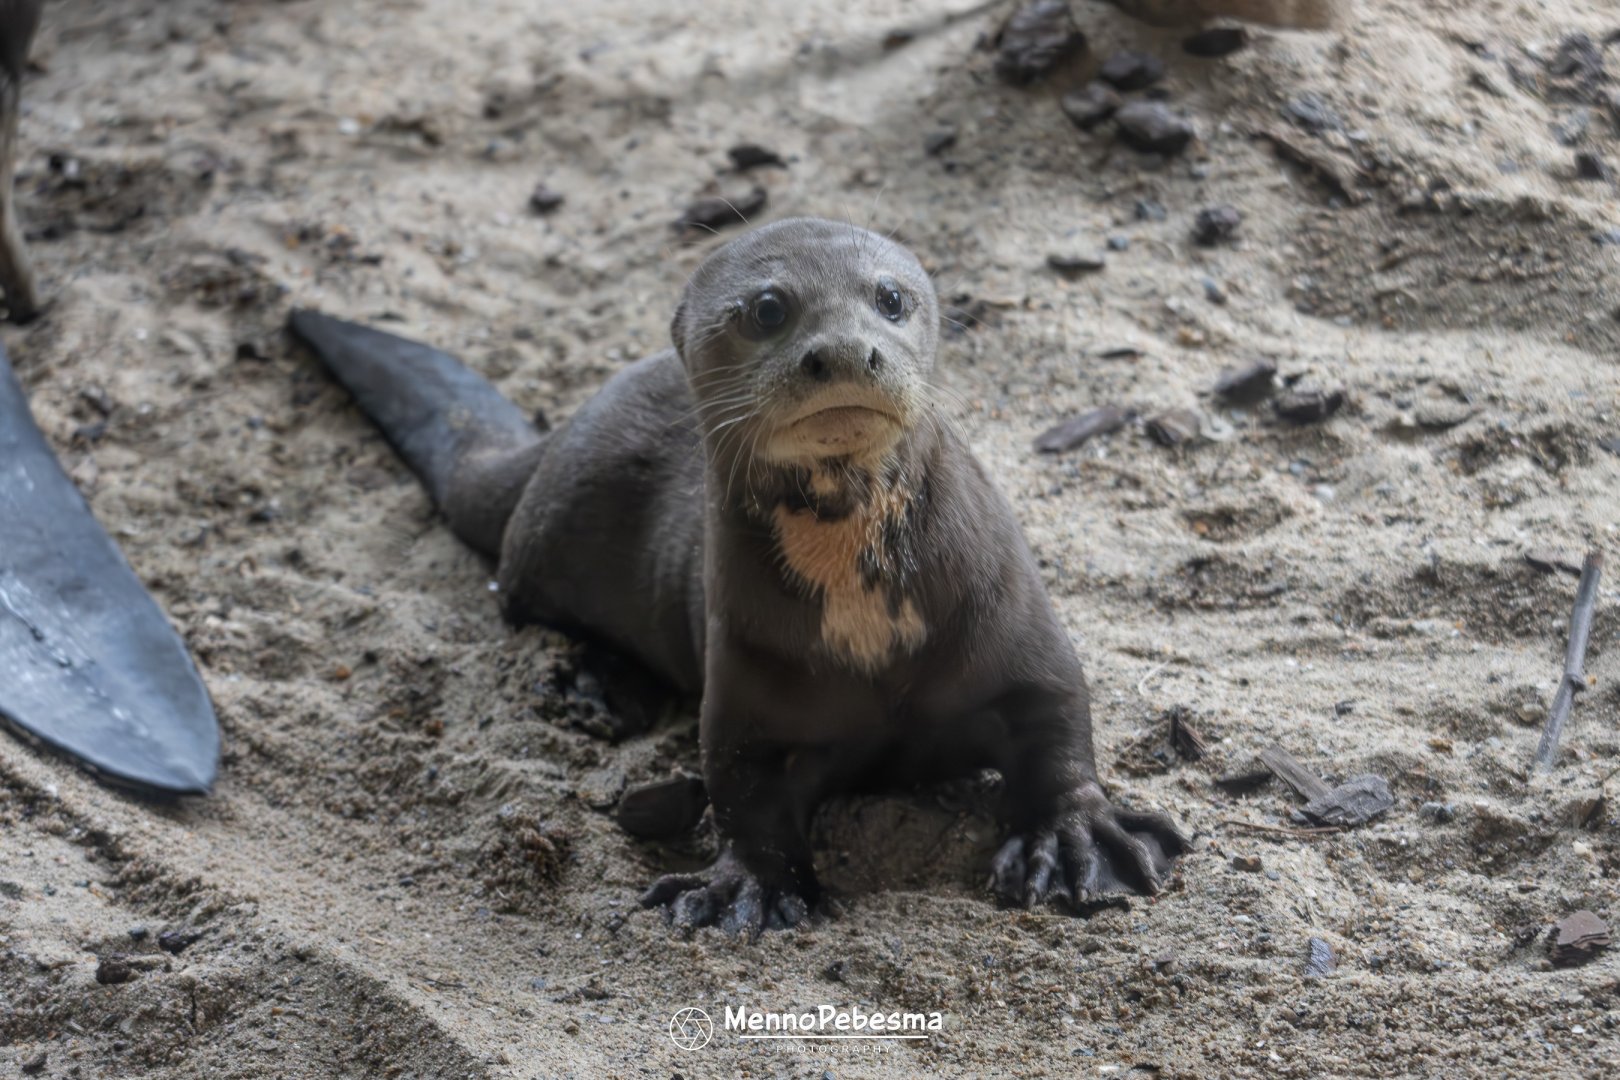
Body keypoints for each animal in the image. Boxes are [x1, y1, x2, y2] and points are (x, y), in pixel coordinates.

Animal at [289, 217, 1185, 935]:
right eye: (769, 309)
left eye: (891, 299)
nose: (844, 351)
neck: (870, 634)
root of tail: (556, 437)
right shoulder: (746, 679)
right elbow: (742, 791)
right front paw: (745, 892)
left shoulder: (1010, 620)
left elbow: (1057, 721)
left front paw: (1075, 845)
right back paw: (596, 686)